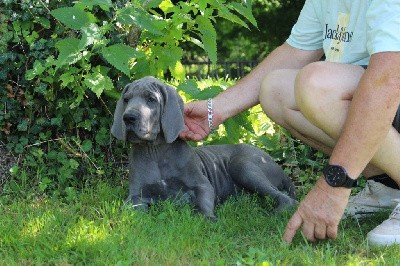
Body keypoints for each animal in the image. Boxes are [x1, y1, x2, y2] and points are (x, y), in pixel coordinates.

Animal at [111, 75, 296, 220]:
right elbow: (133, 211)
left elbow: (202, 202)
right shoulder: (136, 195)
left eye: (151, 99)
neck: (157, 152)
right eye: (126, 99)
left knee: (286, 198)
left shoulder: (202, 184)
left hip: (243, 166)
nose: (128, 117)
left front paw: (206, 218)